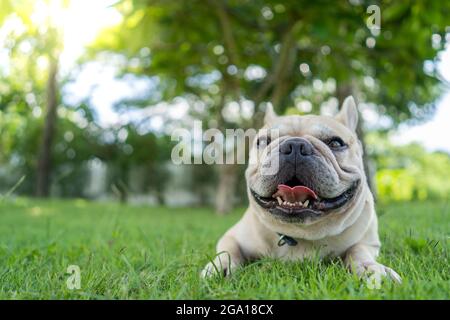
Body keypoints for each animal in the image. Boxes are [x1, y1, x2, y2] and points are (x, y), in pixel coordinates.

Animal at [200, 95, 400, 282]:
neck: (301, 233)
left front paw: (371, 268)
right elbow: (228, 250)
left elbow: (358, 251)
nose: (295, 145)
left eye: (336, 143)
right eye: (263, 141)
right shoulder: (232, 236)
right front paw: (218, 267)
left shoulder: (368, 243)